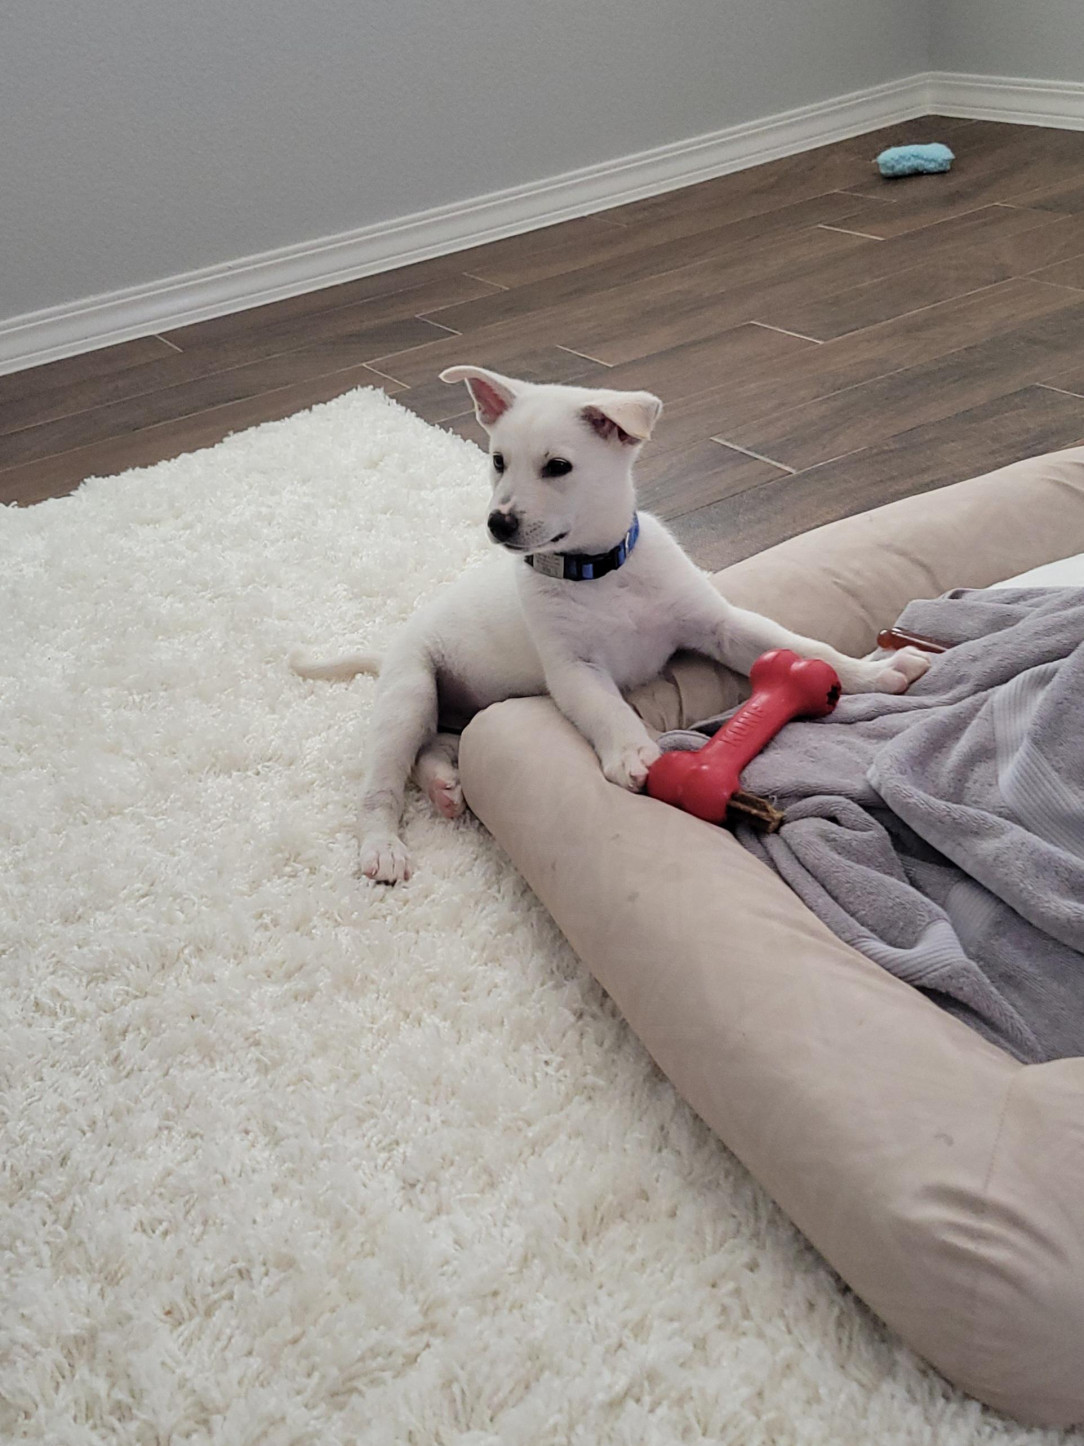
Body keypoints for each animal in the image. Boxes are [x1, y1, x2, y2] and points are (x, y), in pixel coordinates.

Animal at [293, 367, 930, 879]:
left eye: (558, 467)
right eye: (497, 462)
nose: (498, 523)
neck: (598, 572)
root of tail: (390, 652)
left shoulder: (719, 624)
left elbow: (798, 643)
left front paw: (876, 672)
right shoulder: (574, 669)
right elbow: (606, 708)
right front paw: (634, 755)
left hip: (462, 711)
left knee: (435, 745)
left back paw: (445, 786)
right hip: (411, 690)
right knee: (382, 782)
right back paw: (382, 847)